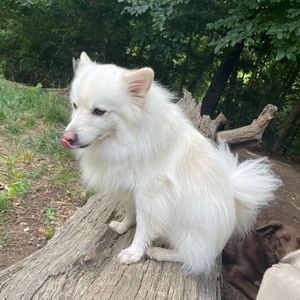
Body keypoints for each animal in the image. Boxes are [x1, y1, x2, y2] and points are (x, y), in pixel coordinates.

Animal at [61, 52, 282, 274]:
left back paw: (159, 252)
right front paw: (123, 226)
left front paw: (134, 253)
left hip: (187, 230)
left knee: (194, 258)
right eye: (75, 106)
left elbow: (143, 227)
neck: (127, 137)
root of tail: (235, 204)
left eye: (99, 111)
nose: (67, 137)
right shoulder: (129, 191)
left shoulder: (150, 196)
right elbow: (131, 214)